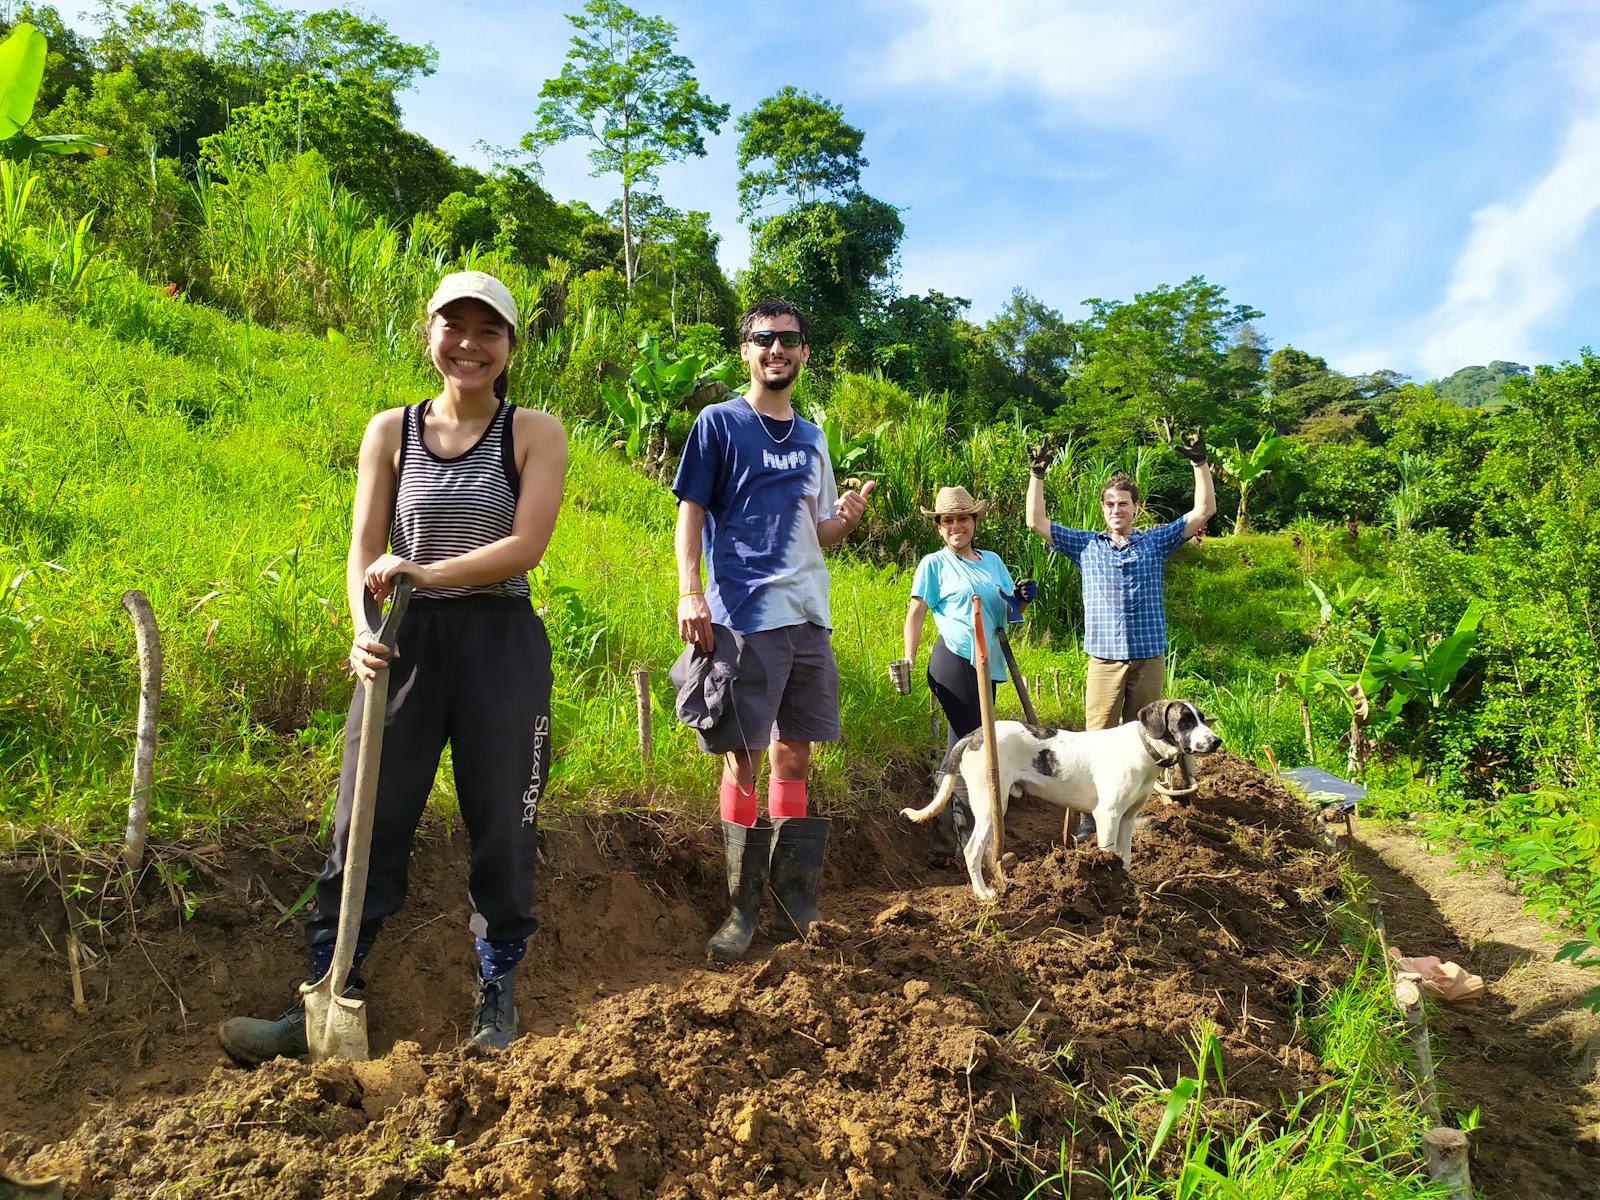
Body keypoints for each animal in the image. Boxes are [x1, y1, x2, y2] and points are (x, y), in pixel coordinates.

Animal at [902, 704, 1222, 902]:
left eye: (1201, 717)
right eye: (1184, 721)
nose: (1217, 740)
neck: (1143, 747)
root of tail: (973, 735)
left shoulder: (1128, 818)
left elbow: (1126, 857)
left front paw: (1128, 888)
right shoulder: (1107, 816)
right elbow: (1108, 855)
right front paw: (1110, 890)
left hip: (995, 807)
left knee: (989, 852)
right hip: (987, 804)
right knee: (971, 851)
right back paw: (983, 894)